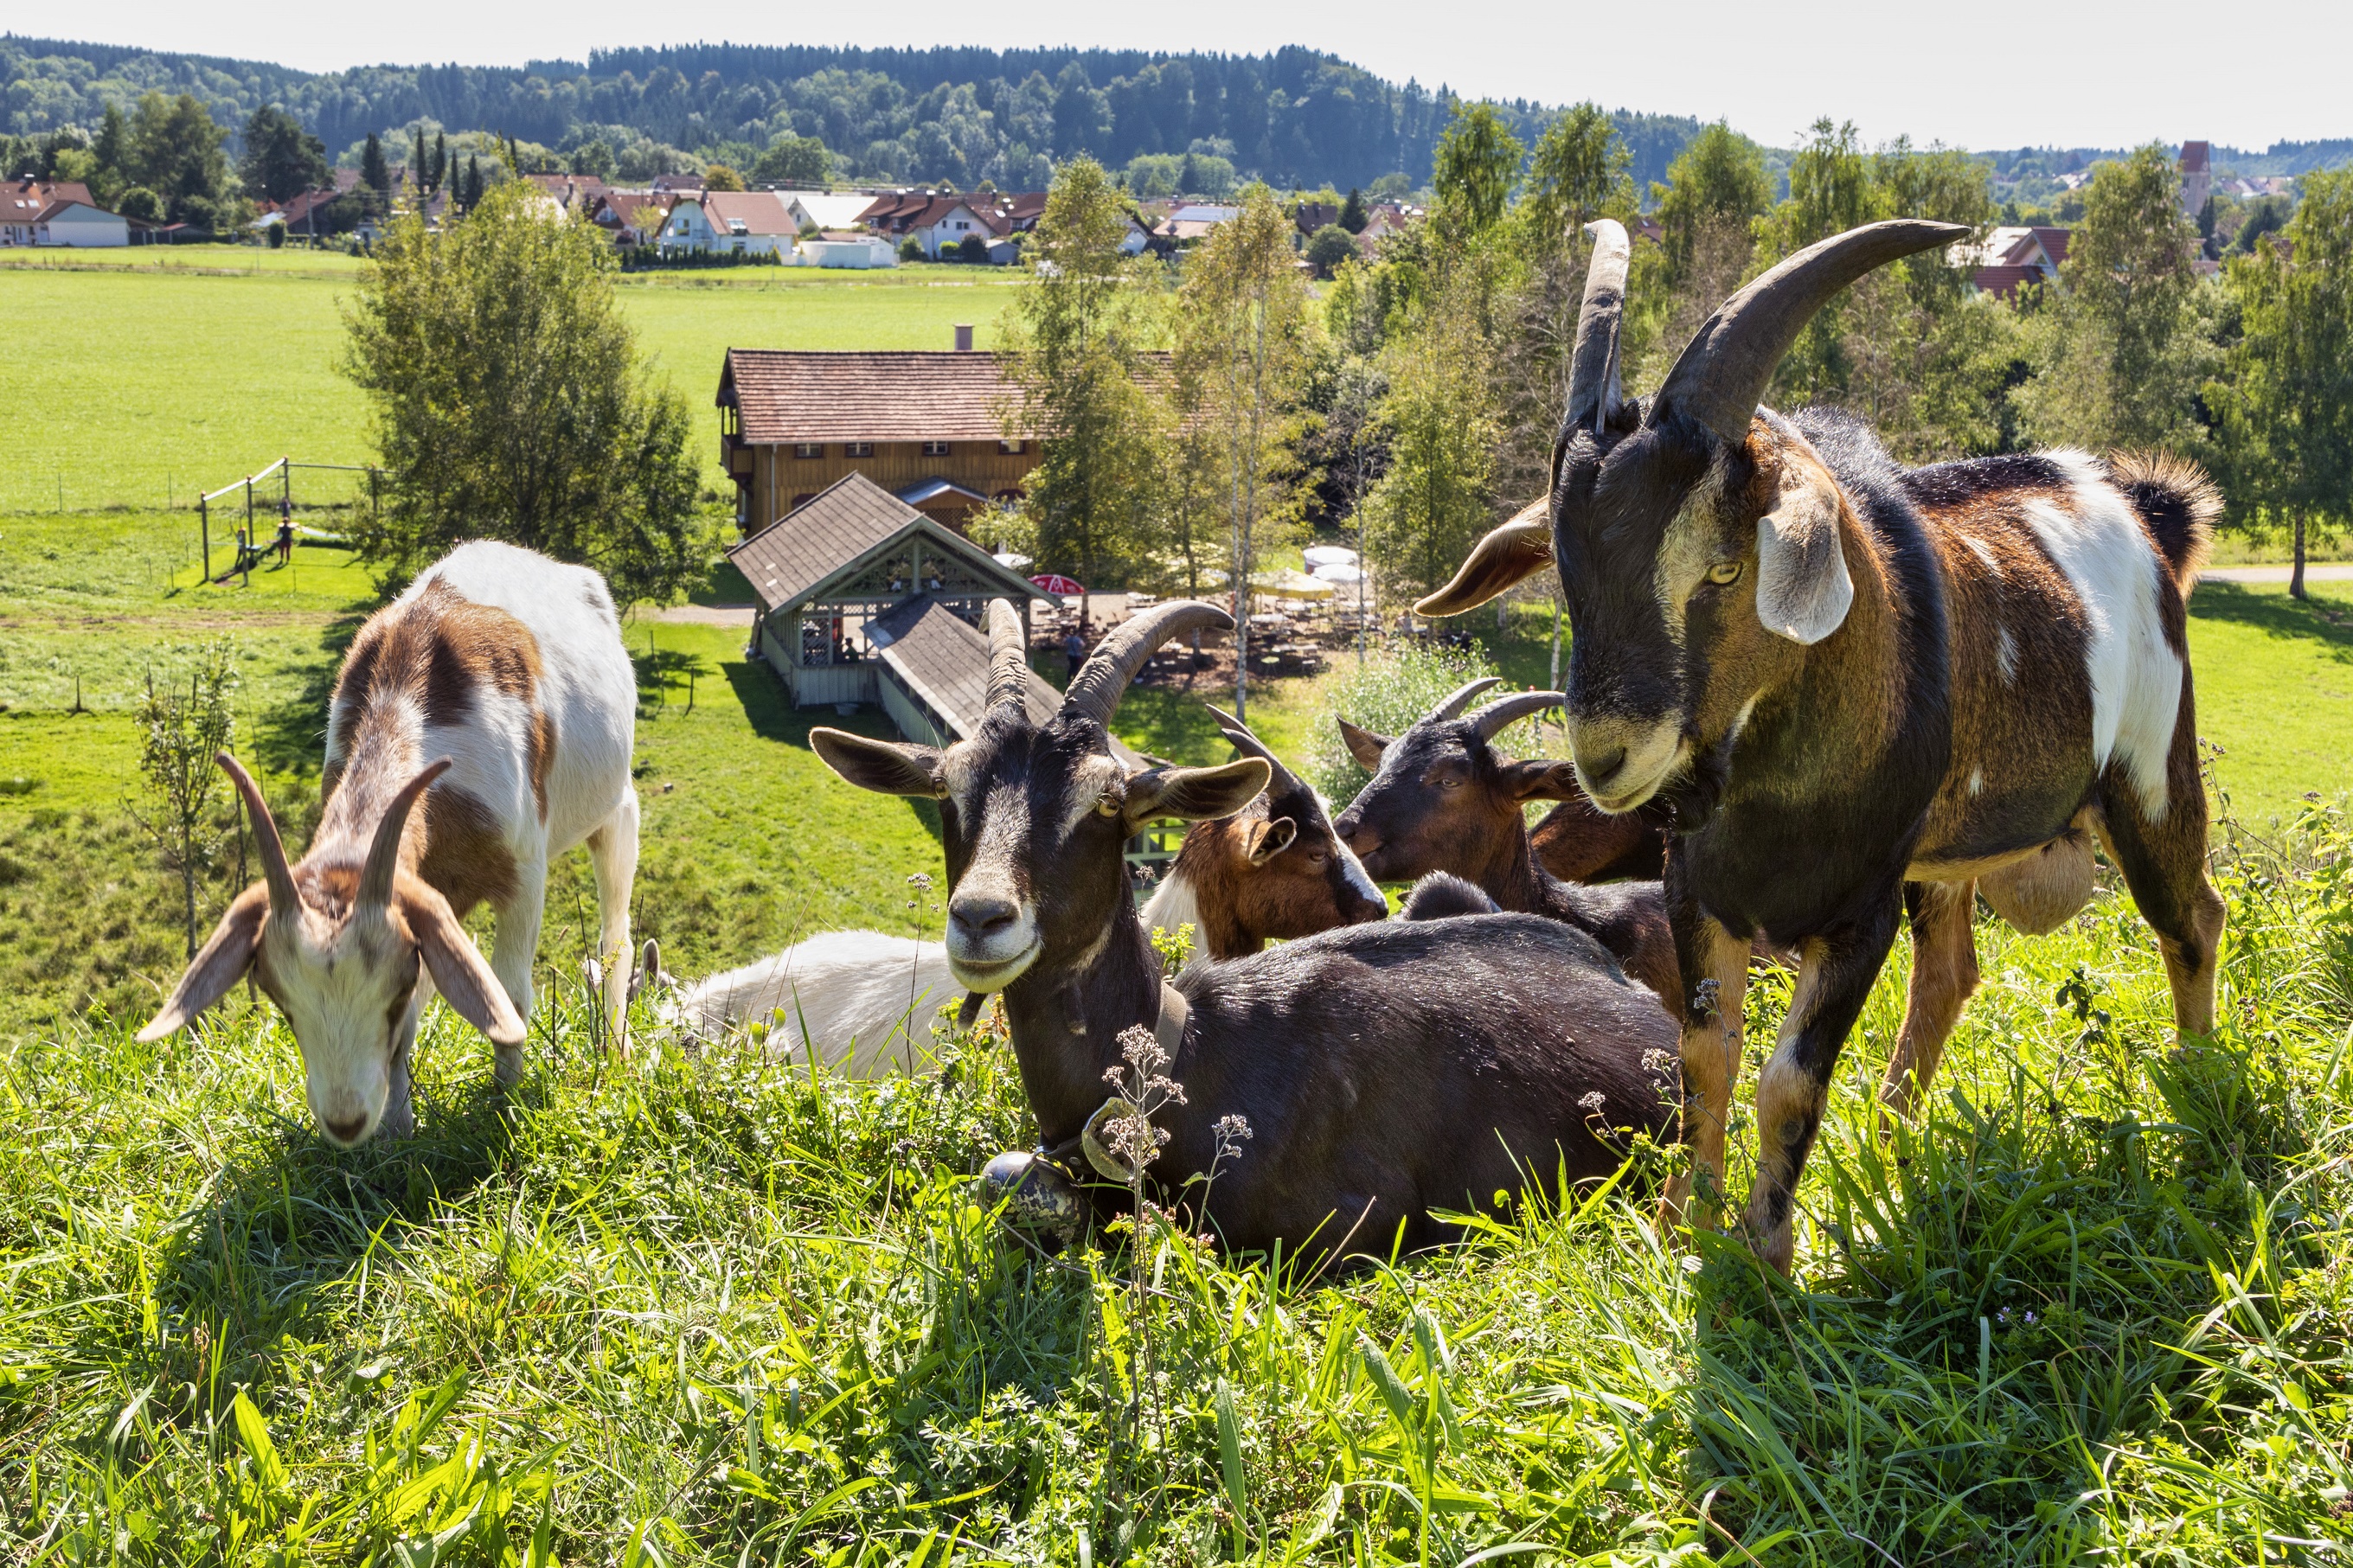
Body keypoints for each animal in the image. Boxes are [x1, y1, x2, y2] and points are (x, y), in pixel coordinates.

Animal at [141, 545, 639, 1147]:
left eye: (391, 993)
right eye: (281, 1001)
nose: (346, 1122)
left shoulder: (524, 871)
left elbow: (512, 998)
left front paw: (504, 1107)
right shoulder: (423, 900)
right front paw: (398, 1136)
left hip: (615, 810)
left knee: (616, 937)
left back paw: (615, 1054)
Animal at [1412, 217, 2221, 1278]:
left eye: (1724, 568)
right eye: (1566, 574)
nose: (1606, 756)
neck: (1772, 791)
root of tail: (2142, 513)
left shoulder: (1858, 906)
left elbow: (1789, 1079)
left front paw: (1765, 1250)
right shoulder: (1697, 888)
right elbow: (1705, 1059)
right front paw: (1683, 1227)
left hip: (2151, 771)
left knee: (2191, 920)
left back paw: (2199, 1102)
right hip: (1944, 850)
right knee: (1950, 971)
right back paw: (1892, 1138)